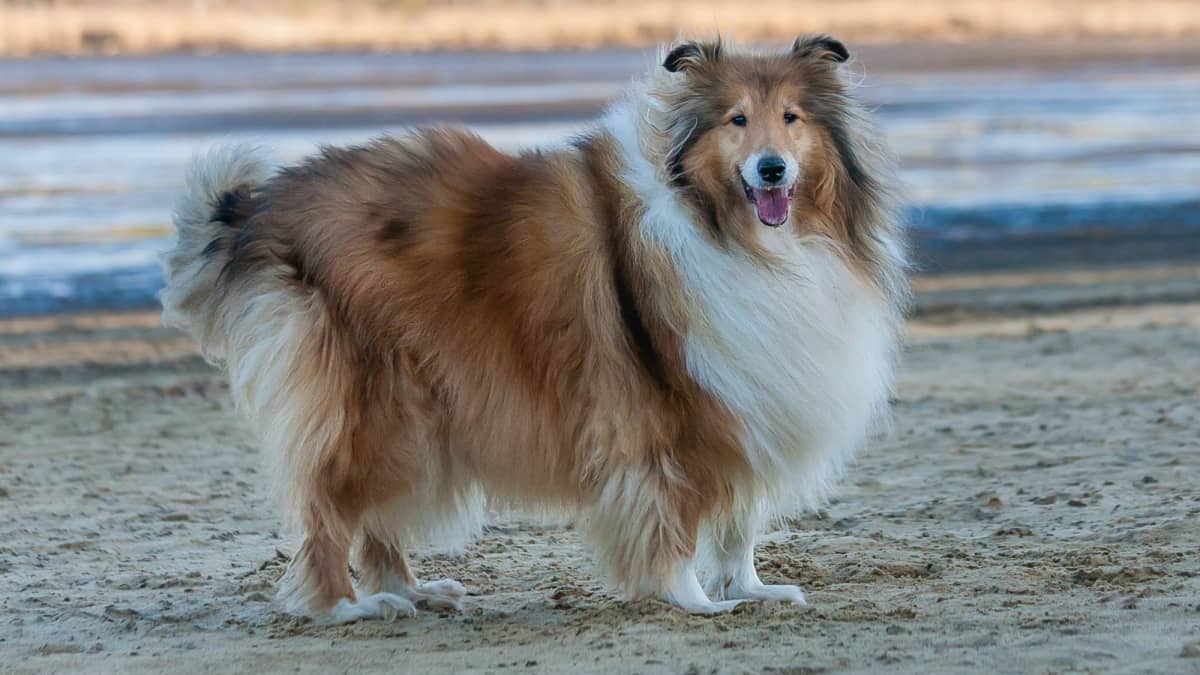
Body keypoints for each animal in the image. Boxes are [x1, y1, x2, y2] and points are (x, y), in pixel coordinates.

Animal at [162, 34, 907, 619]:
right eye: (736, 120)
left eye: (791, 118)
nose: (771, 168)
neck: (736, 234)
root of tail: (263, 205)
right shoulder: (668, 410)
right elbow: (675, 518)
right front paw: (693, 599)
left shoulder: (749, 401)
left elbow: (738, 521)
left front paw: (750, 590)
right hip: (376, 404)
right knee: (327, 509)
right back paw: (347, 606)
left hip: (412, 416)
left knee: (374, 517)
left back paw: (412, 591)